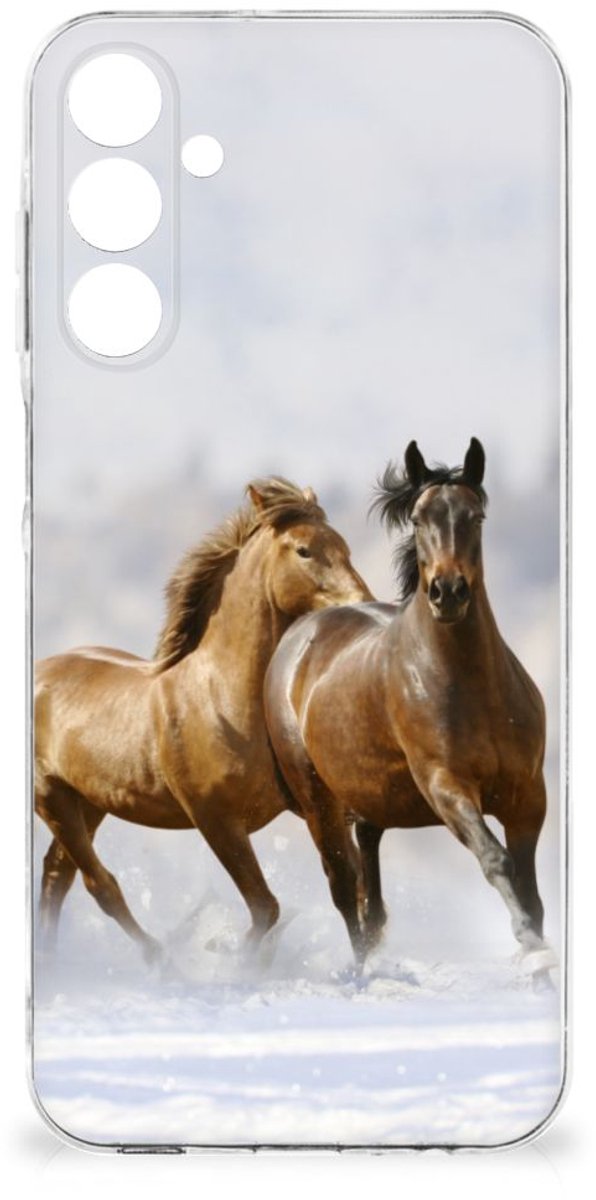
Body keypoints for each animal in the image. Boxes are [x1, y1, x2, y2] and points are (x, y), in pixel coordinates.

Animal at [35, 477, 372, 962]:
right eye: (304, 550)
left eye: (344, 546)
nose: (363, 604)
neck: (222, 700)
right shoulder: (216, 820)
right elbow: (266, 907)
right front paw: (229, 956)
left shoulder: (314, 806)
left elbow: (348, 886)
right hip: (51, 797)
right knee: (99, 884)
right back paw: (158, 958)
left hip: (89, 802)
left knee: (56, 876)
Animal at [264, 440, 549, 970]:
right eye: (418, 519)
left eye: (476, 516)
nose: (448, 592)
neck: (473, 688)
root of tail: (299, 635)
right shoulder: (446, 786)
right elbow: (496, 859)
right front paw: (530, 945)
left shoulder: (528, 796)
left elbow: (529, 887)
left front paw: (538, 950)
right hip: (318, 802)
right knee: (344, 888)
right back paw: (360, 971)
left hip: (369, 799)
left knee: (369, 890)